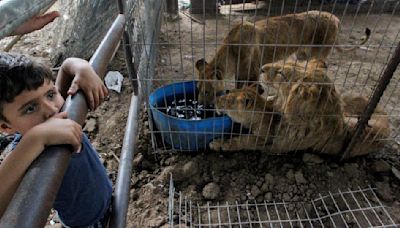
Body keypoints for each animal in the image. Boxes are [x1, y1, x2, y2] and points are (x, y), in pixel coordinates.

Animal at [195, 10, 370, 106]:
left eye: (207, 91)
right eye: (198, 89)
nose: (200, 105)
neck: (231, 52)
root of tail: (336, 18)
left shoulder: (253, 71)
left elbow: (251, 88)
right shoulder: (240, 73)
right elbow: (239, 86)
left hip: (318, 52)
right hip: (302, 54)